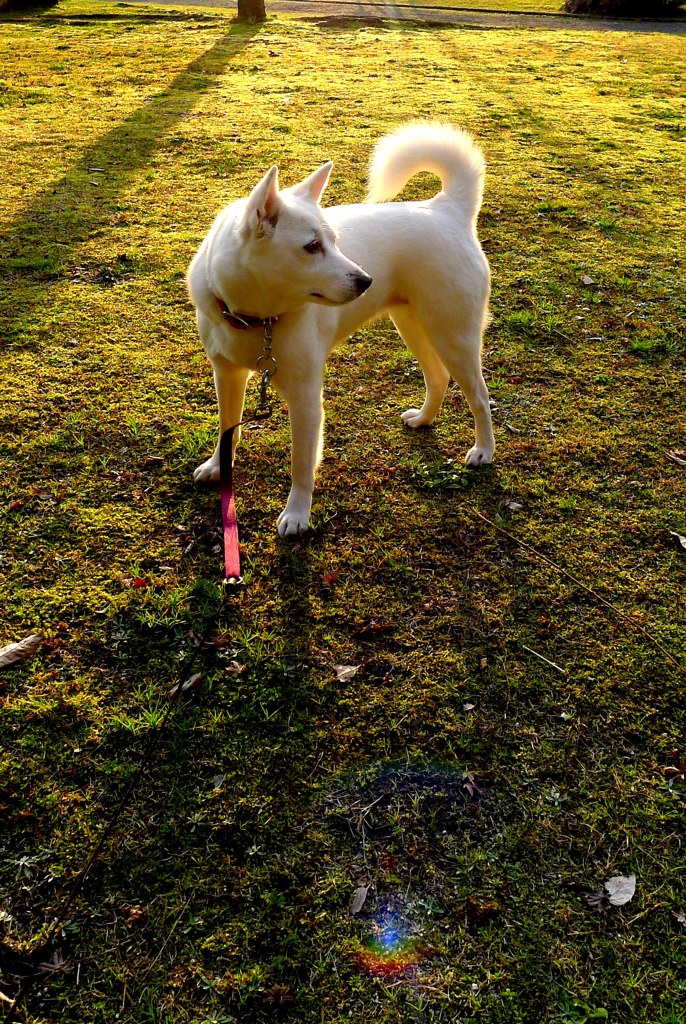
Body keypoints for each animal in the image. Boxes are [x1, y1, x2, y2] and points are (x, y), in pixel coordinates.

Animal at [189, 121, 495, 536]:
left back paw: (484, 450)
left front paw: (297, 514)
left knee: (479, 395)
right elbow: (228, 430)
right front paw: (218, 468)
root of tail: (446, 208)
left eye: (334, 241)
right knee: (438, 377)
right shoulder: (228, 375)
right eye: (312, 246)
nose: (366, 281)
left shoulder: (305, 396)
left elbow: (302, 463)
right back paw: (423, 419)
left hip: (454, 335)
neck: (256, 318)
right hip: (413, 326)